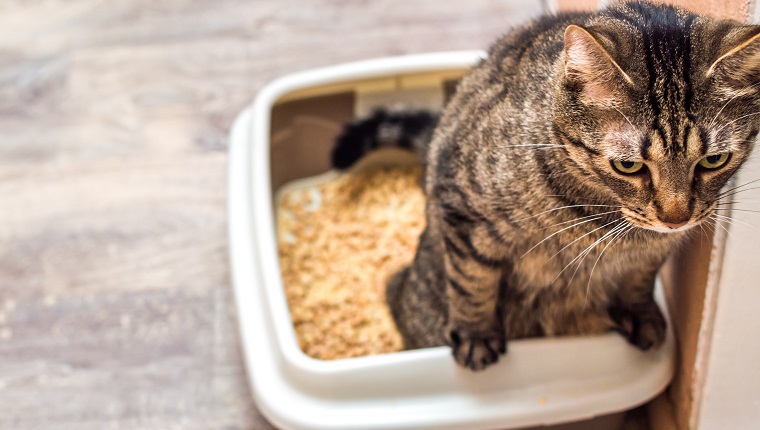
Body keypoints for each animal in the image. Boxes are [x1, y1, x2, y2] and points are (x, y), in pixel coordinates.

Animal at [330, 0, 756, 372]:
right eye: (628, 165)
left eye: (714, 160)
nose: (676, 218)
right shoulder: (465, 209)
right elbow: (472, 283)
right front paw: (476, 336)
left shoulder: (654, 252)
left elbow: (638, 278)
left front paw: (640, 313)